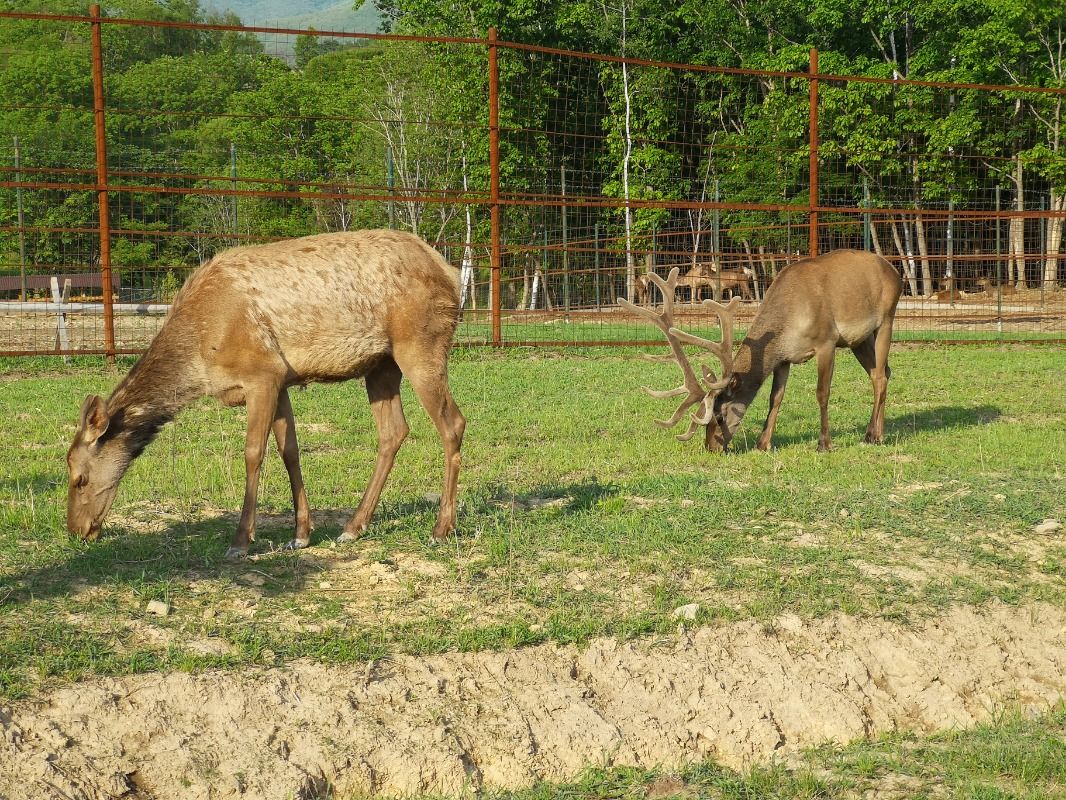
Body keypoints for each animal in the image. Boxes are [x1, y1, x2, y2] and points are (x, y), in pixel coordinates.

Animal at [65, 230, 466, 558]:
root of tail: (450, 274)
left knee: (453, 423)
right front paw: (300, 534)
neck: (200, 357)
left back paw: (441, 529)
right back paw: (353, 526)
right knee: (393, 431)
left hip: (421, 343)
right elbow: (290, 451)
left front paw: (241, 540)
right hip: (381, 365)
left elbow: (253, 453)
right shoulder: (282, 380)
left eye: (79, 478)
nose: (75, 530)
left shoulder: (261, 373)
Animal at [622, 249, 903, 452]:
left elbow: (822, 393)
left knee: (880, 375)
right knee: (883, 372)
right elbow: (774, 398)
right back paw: (878, 431)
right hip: (859, 339)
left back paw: (873, 436)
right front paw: (763, 443)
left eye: (719, 417)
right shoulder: (784, 359)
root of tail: (893, 270)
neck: (789, 324)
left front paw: (824, 444)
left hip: (887, 318)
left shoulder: (826, 341)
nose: (711, 447)